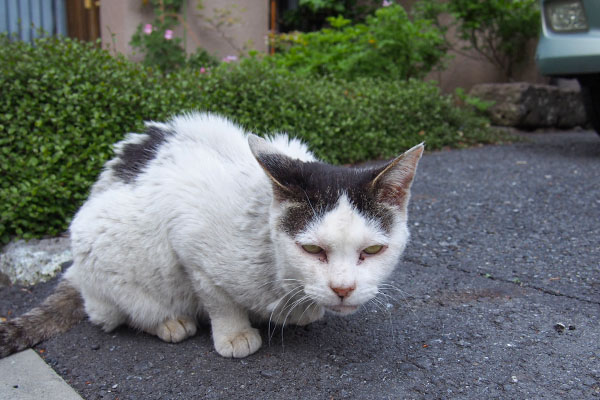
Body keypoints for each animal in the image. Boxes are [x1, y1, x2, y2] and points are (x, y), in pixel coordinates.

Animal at [0, 113, 422, 360]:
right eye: (312, 249)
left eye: (373, 249)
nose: (343, 289)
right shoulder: (189, 245)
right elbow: (219, 300)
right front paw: (235, 335)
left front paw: (304, 310)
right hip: (105, 253)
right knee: (114, 313)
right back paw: (169, 323)